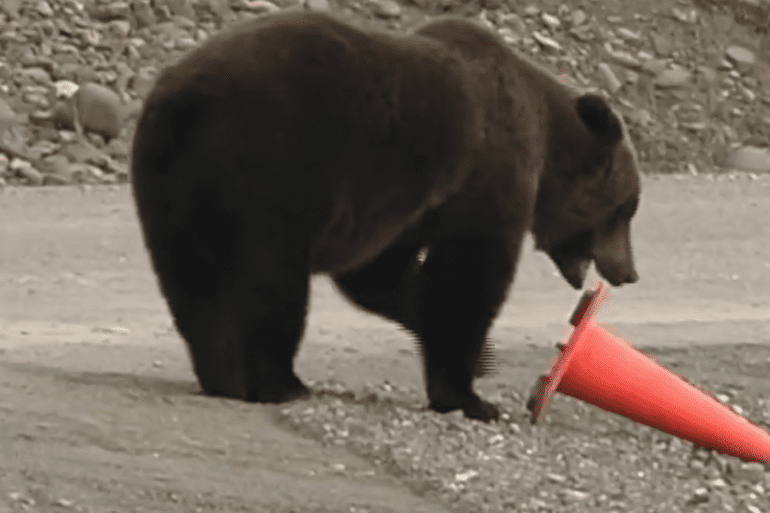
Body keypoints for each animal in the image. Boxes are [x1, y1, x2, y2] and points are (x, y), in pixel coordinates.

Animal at [130, 10, 640, 422]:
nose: (629, 272)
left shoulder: (406, 208)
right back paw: (279, 382)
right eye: (627, 208)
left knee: (191, 283)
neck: (547, 145)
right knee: (272, 281)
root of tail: (183, 100)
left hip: (169, 187)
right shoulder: (485, 176)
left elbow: (382, 277)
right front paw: (472, 396)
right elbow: (469, 276)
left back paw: (221, 373)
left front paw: (478, 357)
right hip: (273, 169)